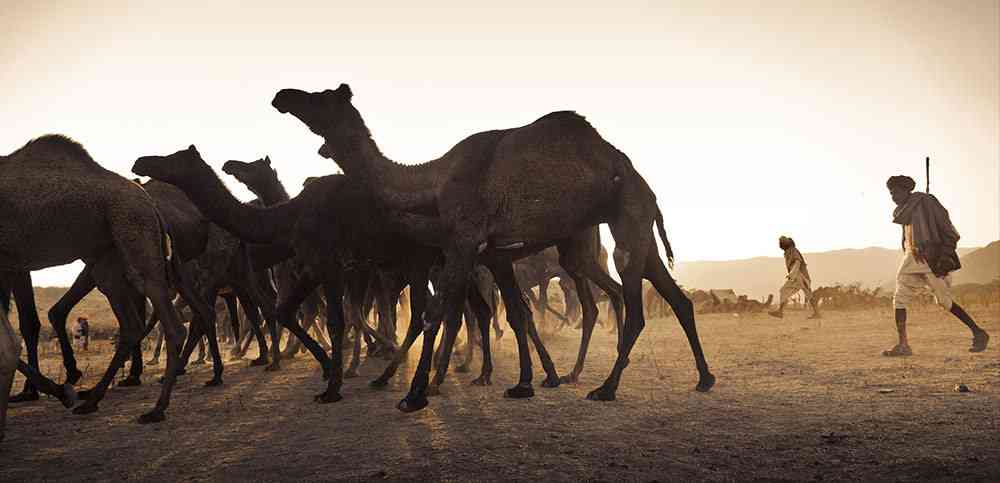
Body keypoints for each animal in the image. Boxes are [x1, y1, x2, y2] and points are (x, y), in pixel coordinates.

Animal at [1, 135, 185, 423]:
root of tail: (152, 206)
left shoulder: (10, 260)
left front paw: (57, 390)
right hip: (107, 258)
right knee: (131, 324)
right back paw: (92, 399)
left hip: (134, 230)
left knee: (167, 318)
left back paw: (156, 409)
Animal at [272, 85, 715, 412]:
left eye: (320, 98)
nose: (282, 96)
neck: (431, 180)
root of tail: (643, 182)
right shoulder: (493, 252)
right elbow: (514, 313)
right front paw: (524, 383)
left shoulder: (464, 241)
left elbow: (436, 314)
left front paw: (414, 395)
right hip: (634, 228)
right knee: (675, 297)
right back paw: (704, 378)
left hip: (626, 215)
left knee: (634, 302)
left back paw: (605, 387)